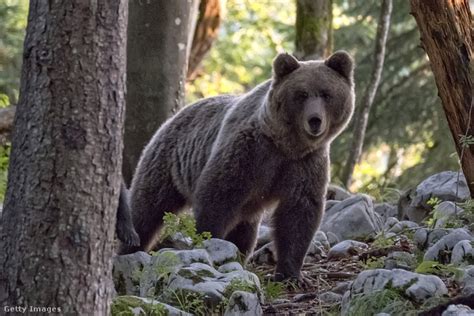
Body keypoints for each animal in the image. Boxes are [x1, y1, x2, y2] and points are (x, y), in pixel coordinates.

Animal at [120, 51, 354, 282]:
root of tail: (173, 117)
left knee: (245, 231)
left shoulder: (304, 164)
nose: (315, 120)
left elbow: (299, 214)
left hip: (248, 205)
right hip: (167, 163)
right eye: (301, 94)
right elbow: (218, 195)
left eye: (326, 94)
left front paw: (291, 274)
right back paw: (131, 246)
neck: (286, 145)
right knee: (147, 208)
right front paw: (208, 241)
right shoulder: (249, 152)